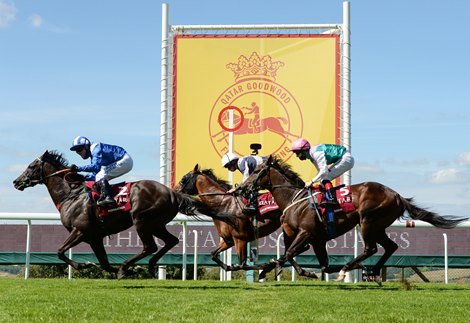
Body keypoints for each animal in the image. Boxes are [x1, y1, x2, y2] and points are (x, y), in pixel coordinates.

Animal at [12, 151, 237, 280]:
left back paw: (129, 266)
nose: (16, 181)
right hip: (156, 224)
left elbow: (59, 252)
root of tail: (173, 193)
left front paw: (85, 265)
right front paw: (117, 269)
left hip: (142, 221)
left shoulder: (80, 231)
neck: (71, 194)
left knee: (150, 246)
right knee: (170, 241)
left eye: (31, 166)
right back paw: (148, 265)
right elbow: (103, 262)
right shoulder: (94, 237)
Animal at [237, 156, 464, 282]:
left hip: (368, 221)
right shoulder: (316, 240)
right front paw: (265, 269)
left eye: (257, 171)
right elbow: (313, 262)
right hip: (378, 226)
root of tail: (398, 196)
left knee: (370, 249)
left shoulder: (306, 234)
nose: (242, 188)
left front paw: (309, 273)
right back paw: (370, 269)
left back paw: (349, 268)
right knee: (390, 247)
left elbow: (291, 254)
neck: (295, 199)